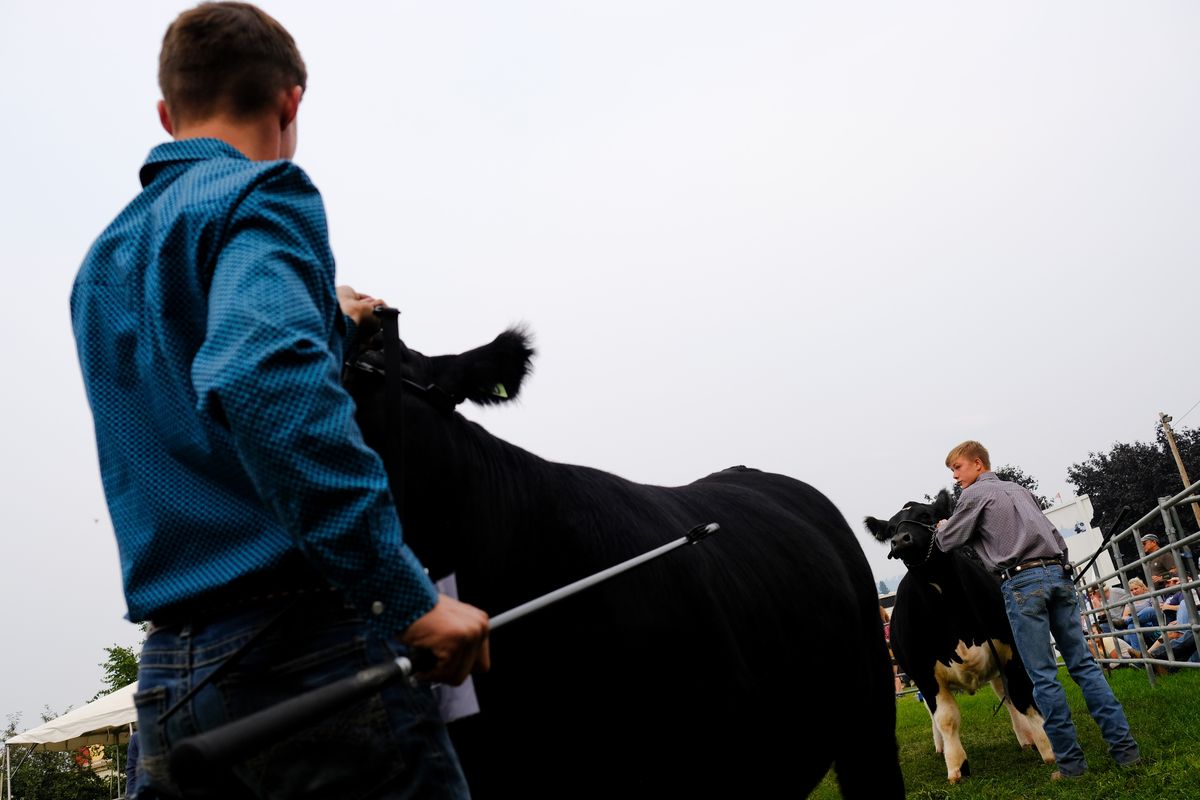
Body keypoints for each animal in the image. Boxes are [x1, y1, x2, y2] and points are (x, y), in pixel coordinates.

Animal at [864, 491, 1051, 786]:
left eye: (926, 515)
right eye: (891, 528)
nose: (901, 540)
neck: (950, 608)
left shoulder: (1012, 649)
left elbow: (1022, 695)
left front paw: (1047, 748)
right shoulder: (924, 672)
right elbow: (946, 718)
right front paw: (956, 766)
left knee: (1005, 694)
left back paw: (1025, 737)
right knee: (934, 714)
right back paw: (940, 747)